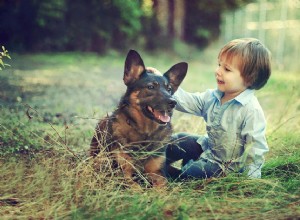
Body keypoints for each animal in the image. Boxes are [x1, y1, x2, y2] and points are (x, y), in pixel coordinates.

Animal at [89, 49, 188, 187]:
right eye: (151, 87)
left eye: (169, 89)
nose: (173, 102)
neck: (144, 133)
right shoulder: (124, 175)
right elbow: (137, 188)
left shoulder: (158, 174)